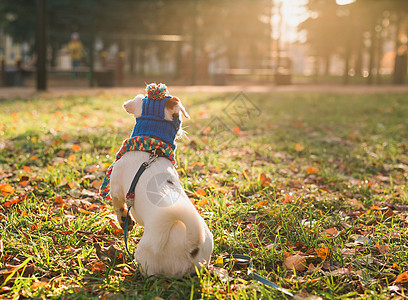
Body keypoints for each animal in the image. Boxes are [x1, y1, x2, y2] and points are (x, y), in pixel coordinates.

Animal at [107, 88, 214, 278]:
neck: (151, 148)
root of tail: (191, 245)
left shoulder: (116, 190)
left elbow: (119, 207)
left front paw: (125, 220)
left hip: (147, 257)